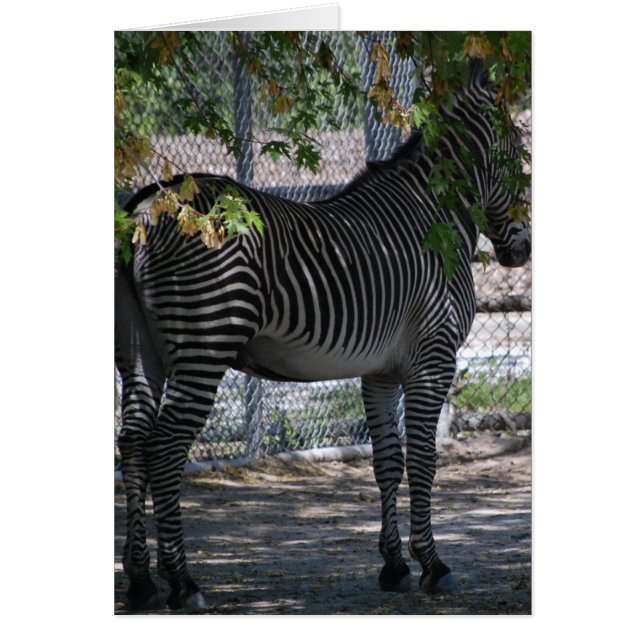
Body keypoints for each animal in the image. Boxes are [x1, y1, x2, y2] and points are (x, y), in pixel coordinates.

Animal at [115, 59, 531, 611]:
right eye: (521, 160)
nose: (522, 251)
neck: (434, 220)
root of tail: (146, 204)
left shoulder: (380, 371)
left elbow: (387, 461)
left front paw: (394, 566)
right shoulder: (434, 358)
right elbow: (423, 459)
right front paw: (434, 566)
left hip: (141, 350)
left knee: (134, 442)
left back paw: (142, 582)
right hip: (205, 344)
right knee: (164, 448)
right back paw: (183, 583)